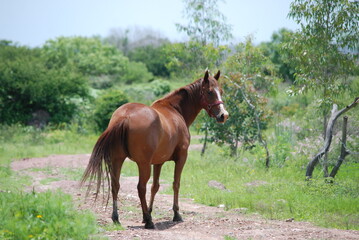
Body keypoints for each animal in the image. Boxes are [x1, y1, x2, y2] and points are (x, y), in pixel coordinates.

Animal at [81, 69, 228, 229]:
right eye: (209, 92)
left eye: (221, 91)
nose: (223, 115)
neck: (175, 110)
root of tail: (124, 116)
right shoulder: (181, 158)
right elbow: (176, 184)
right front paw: (175, 214)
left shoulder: (158, 162)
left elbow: (155, 186)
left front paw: (150, 212)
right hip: (143, 165)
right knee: (141, 188)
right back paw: (149, 221)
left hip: (117, 160)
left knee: (116, 185)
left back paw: (117, 218)